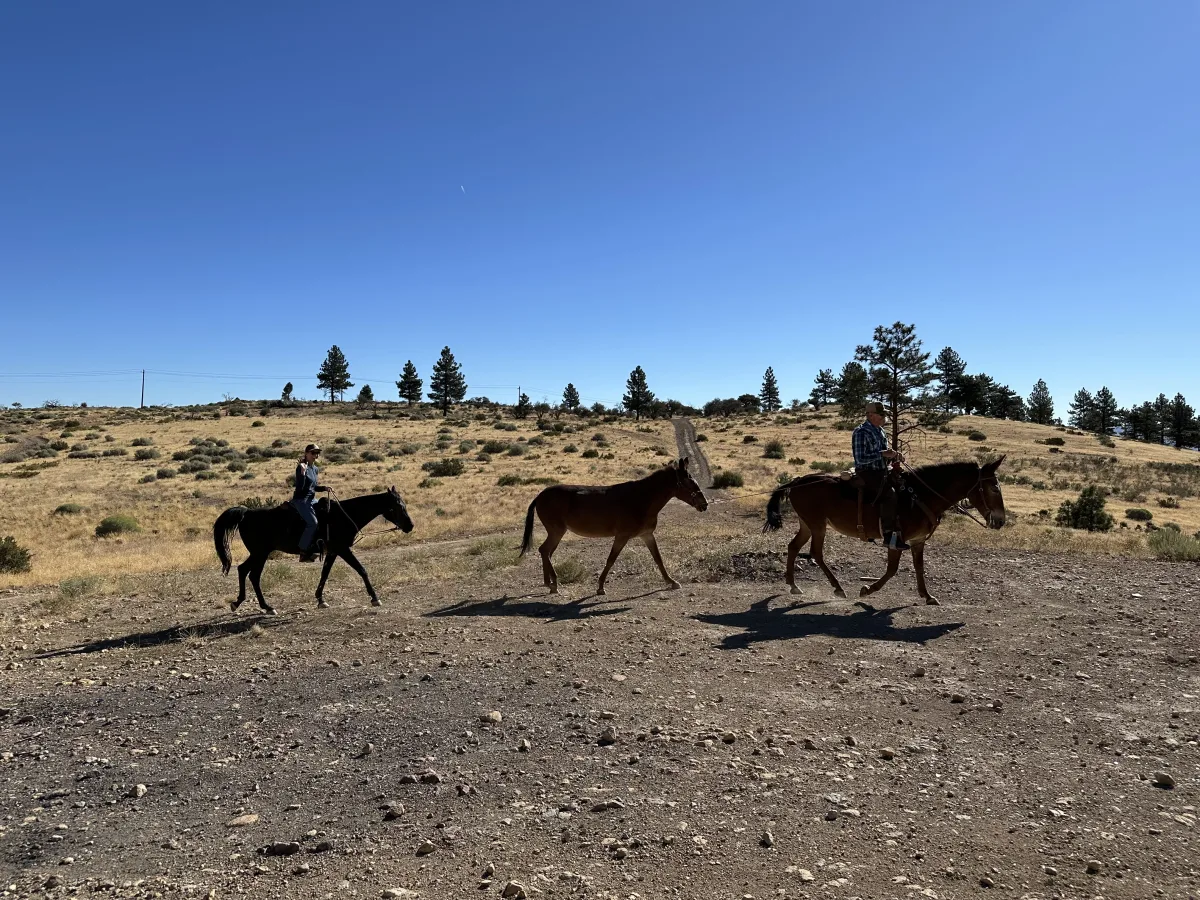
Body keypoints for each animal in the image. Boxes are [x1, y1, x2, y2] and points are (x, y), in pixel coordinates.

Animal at [213, 487, 413, 615]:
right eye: (397, 507)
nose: (410, 526)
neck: (343, 516)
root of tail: (247, 513)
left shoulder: (333, 551)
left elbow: (325, 574)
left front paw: (320, 599)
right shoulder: (343, 549)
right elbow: (361, 570)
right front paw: (374, 598)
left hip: (259, 553)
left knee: (244, 571)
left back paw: (241, 603)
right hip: (260, 553)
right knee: (252, 575)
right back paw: (266, 607)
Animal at [520, 457, 708, 596]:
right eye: (690, 483)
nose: (705, 504)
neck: (642, 499)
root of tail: (540, 495)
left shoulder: (647, 535)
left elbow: (658, 558)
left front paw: (672, 582)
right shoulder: (622, 536)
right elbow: (611, 559)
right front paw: (600, 587)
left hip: (557, 532)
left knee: (546, 552)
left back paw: (549, 583)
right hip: (557, 531)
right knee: (545, 551)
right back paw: (553, 584)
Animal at [763, 457, 1006, 604]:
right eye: (994, 487)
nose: (1001, 520)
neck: (920, 496)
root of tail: (796, 482)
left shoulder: (918, 541)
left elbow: (919, 568)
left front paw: (927, 596)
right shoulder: (896, 539)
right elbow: (891, 570)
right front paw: (868, 589)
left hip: (807, 524)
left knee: (793, 547)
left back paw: (793, 585)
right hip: (817, 525)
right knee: (816, 553)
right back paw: (838, 587)